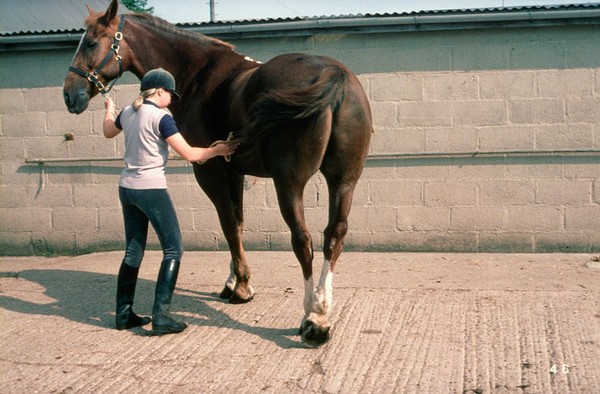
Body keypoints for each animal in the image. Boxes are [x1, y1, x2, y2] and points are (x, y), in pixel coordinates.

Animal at [64, 0, 370, 346]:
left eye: (90, 42)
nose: (69, 94)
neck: (197, 75)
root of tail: (334, 76)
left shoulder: (210, 172)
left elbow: (228, 225)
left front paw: (241, 288)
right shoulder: (234, 172)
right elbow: (238, 221)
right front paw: (233, 281)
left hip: (290, 183)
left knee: (303, 239)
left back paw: (314, 318)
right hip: (344, 181)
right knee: (335, 235)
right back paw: (322, 310)